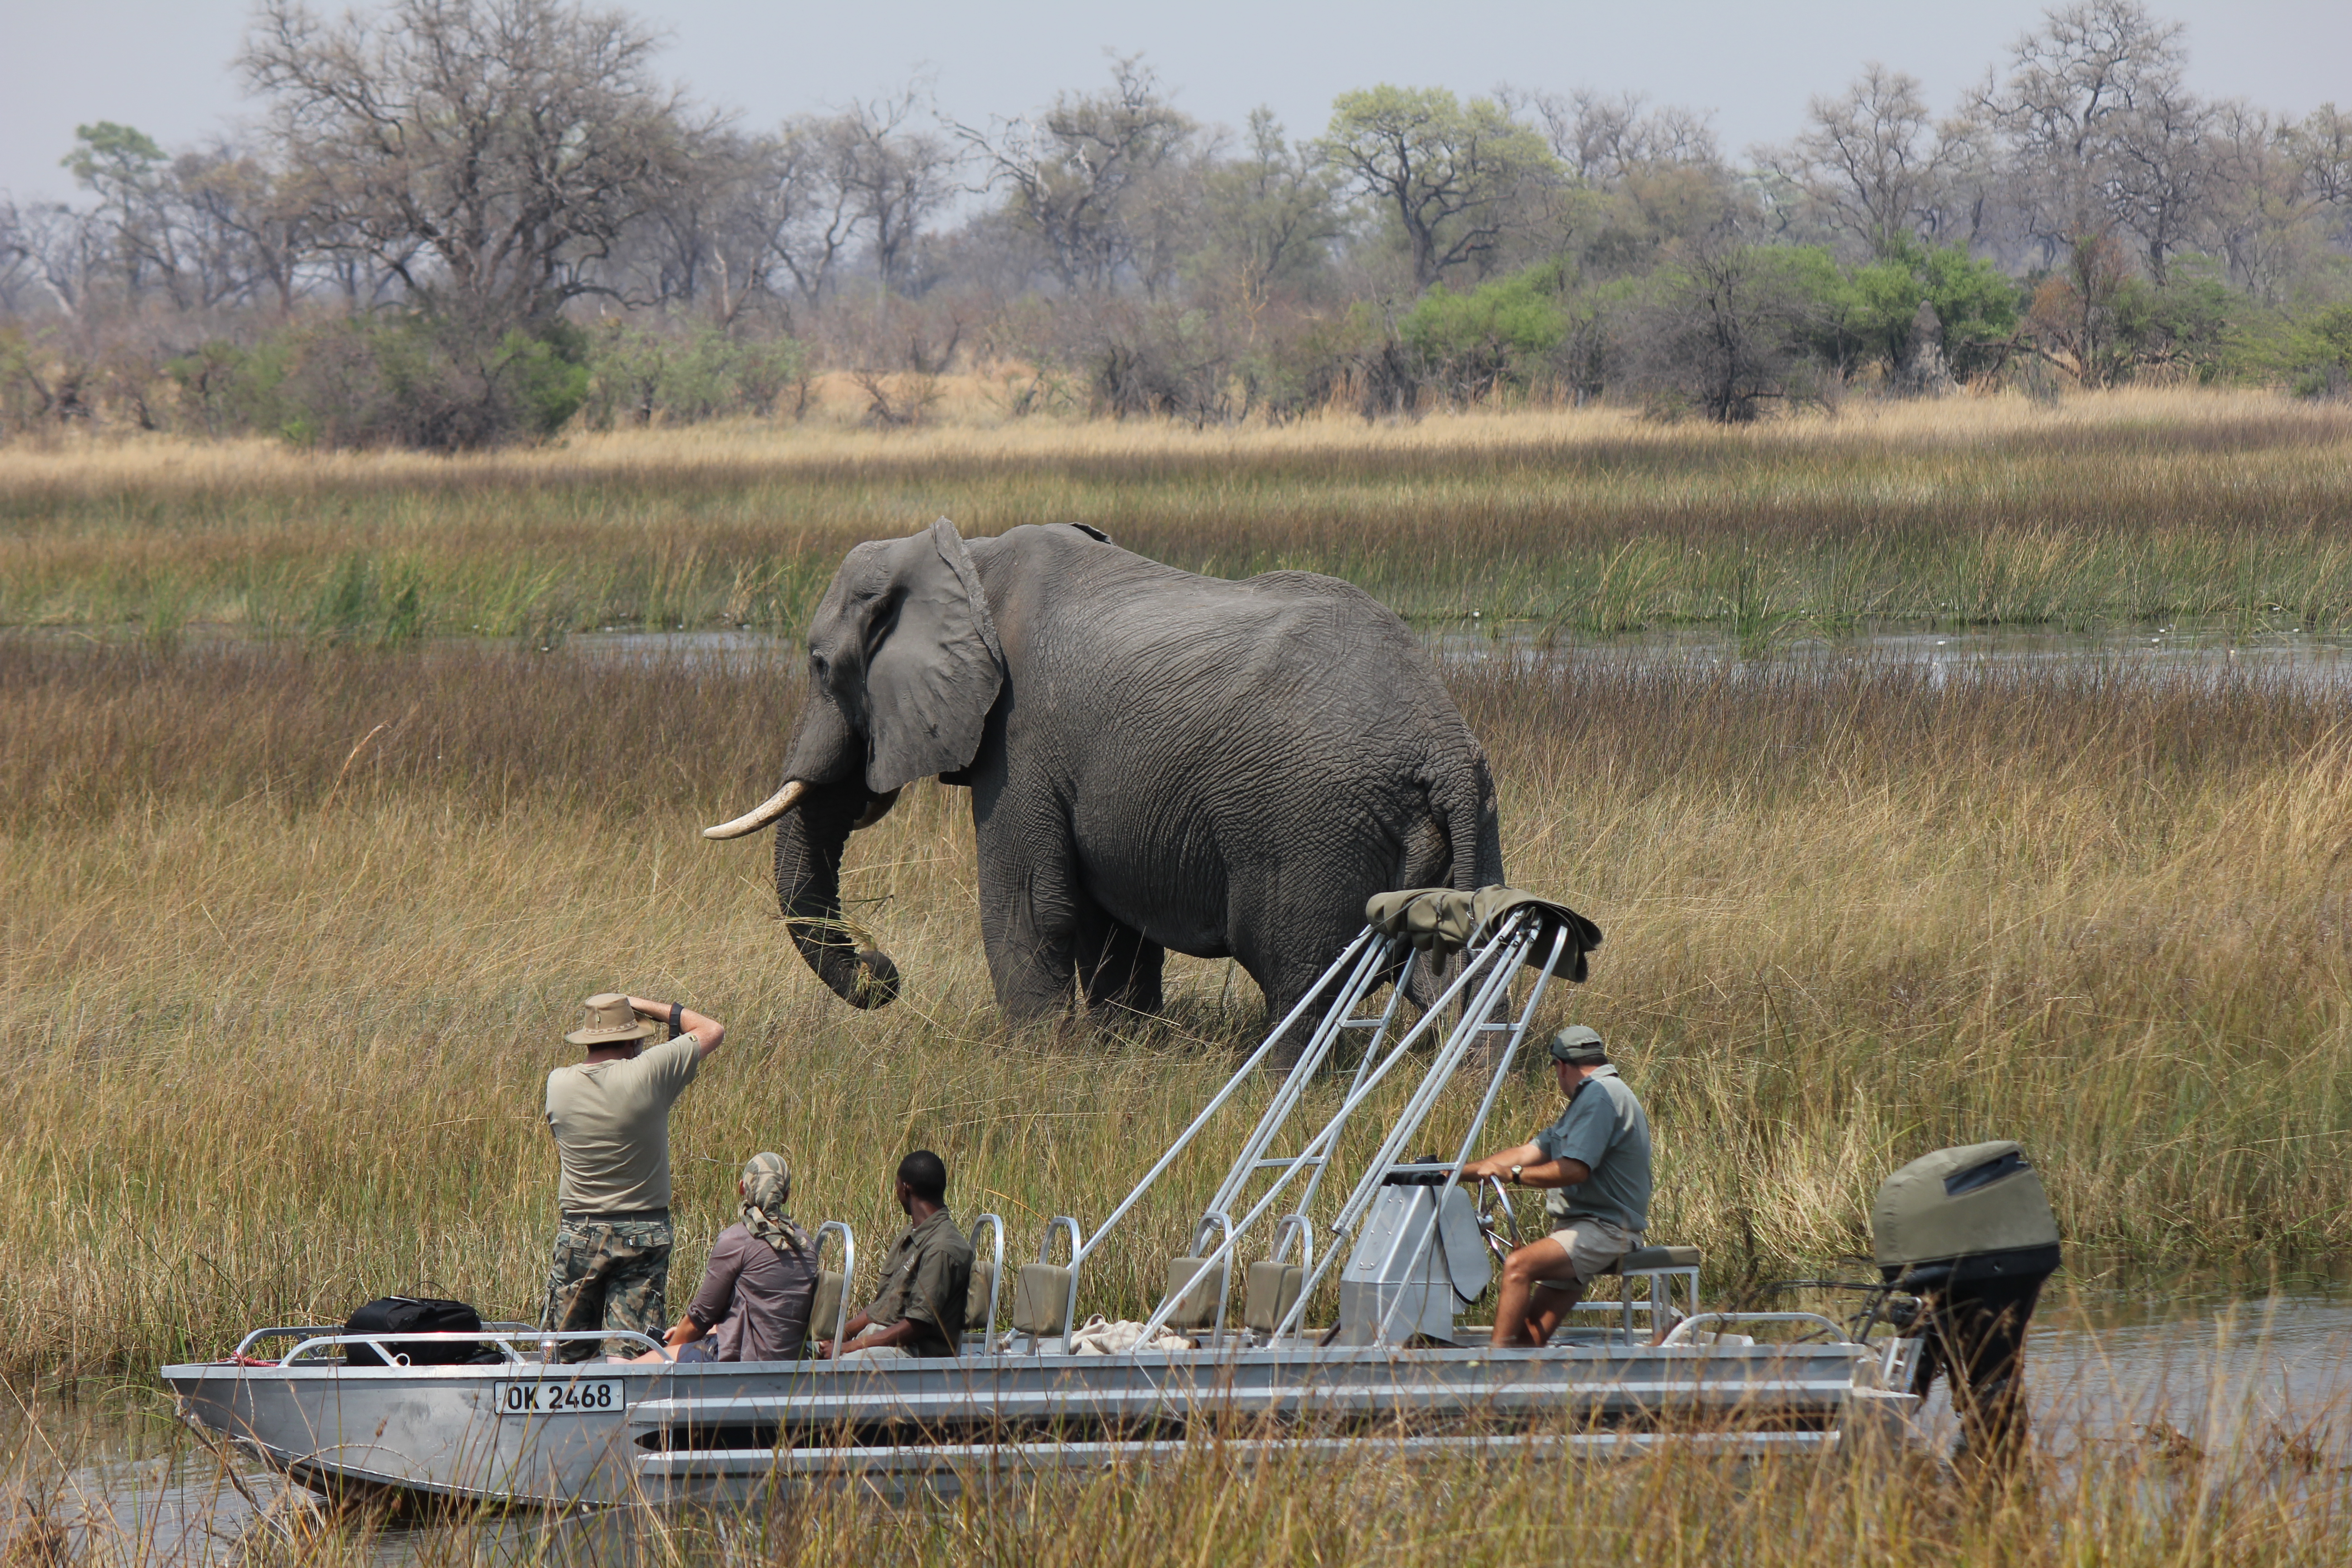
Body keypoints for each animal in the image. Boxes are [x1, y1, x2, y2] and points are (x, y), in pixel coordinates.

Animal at [703, 518, 1504, 1038]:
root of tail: (1441, 744)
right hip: (1469, 823)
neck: (968, 559)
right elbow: (1115, 920)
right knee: (1450, 977)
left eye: (818, 665)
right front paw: (1121, 1050)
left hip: (1314, 828)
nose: (880, 970)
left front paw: (1035, 1062)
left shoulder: (1022, 737)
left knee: (1300, 981)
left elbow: (1033, 907)